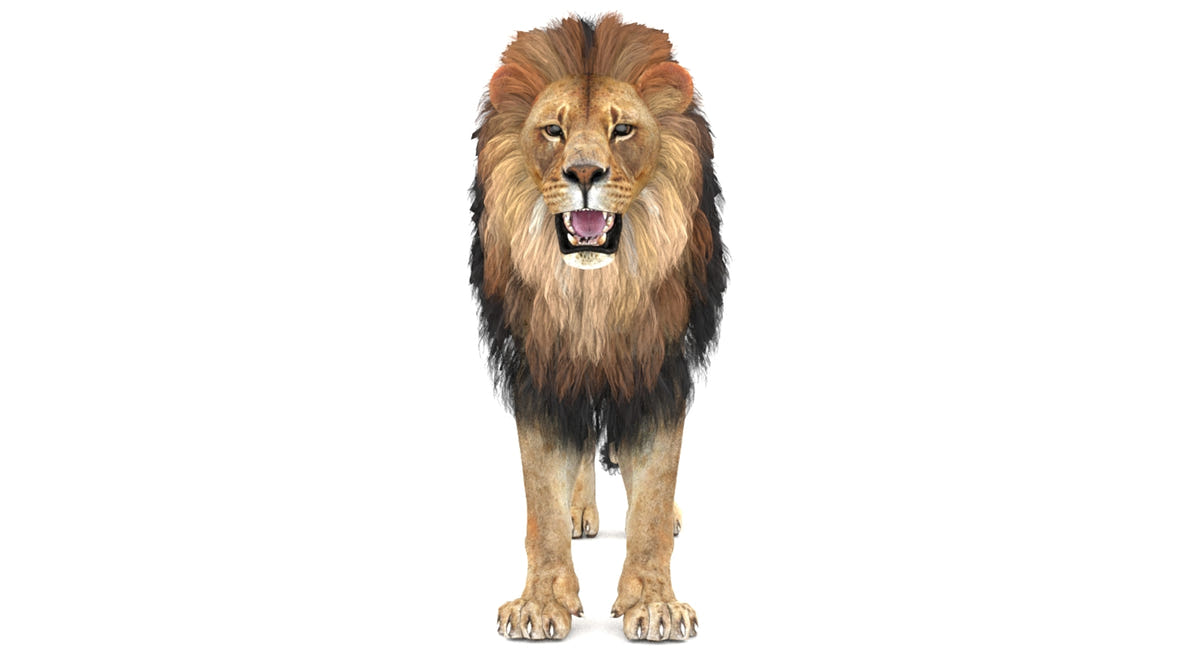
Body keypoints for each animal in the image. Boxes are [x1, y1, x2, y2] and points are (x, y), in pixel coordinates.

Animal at [470, 14, 727, 641]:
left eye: (624, 130)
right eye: (553, 131)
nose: (584, 172)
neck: (596, 298)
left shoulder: (658, 371)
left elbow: (654, 495)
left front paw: (654, 603)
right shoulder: (540, 371)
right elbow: (541, 494)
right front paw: (539, 602)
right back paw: (579, 509)